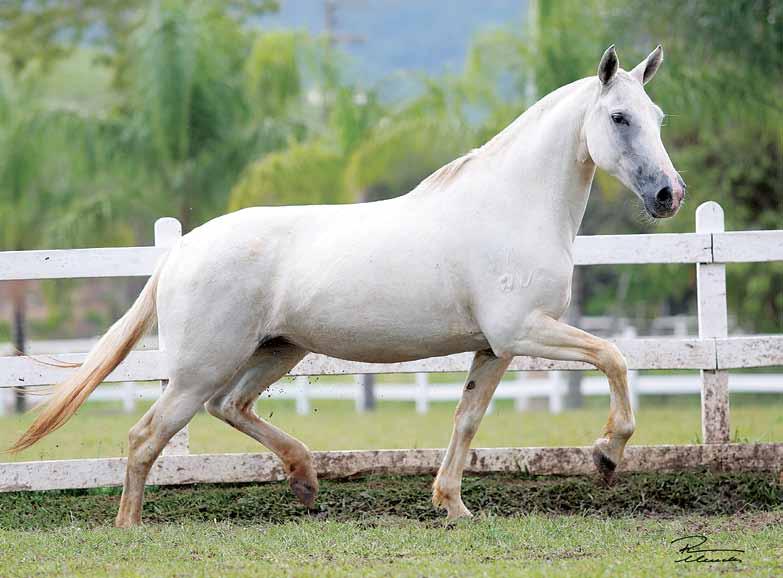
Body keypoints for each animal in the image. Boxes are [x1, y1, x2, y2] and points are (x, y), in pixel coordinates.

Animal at [13, 44, 688, 520]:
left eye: (657, 115)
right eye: (619, 117)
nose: (669, 194)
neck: (512, 207)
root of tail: (181, 252)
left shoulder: (494, 347)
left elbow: (466, 420)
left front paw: (453, 506)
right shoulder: (524, 331)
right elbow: (614, 356)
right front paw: (606, 455)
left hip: (276, 352)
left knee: (227, 406)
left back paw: (305, 478)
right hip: (201, 366)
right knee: (145, 435)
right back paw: (131, 526)